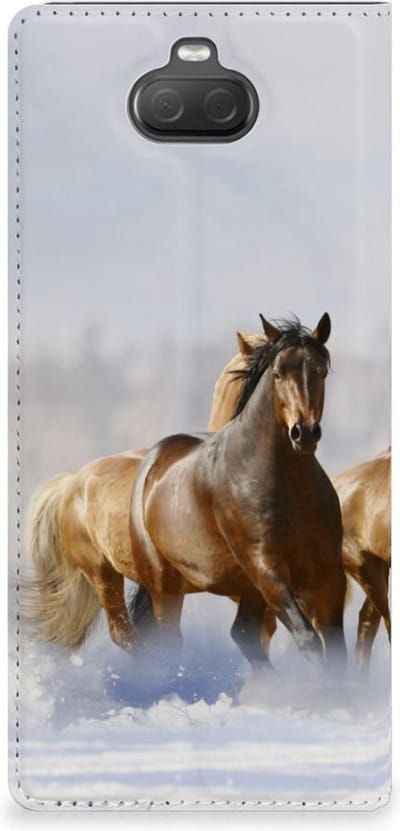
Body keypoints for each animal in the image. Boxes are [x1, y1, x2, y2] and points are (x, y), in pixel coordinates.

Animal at [25, 313, 346, 674]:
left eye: (320, 371)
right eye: (277, 373)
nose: (303, 433)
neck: (289, 488)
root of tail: (71, 483)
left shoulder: (327, 575)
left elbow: (333, 647)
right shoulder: (267, 571)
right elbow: (306, 639)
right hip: (126, 578)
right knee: (142, 638)